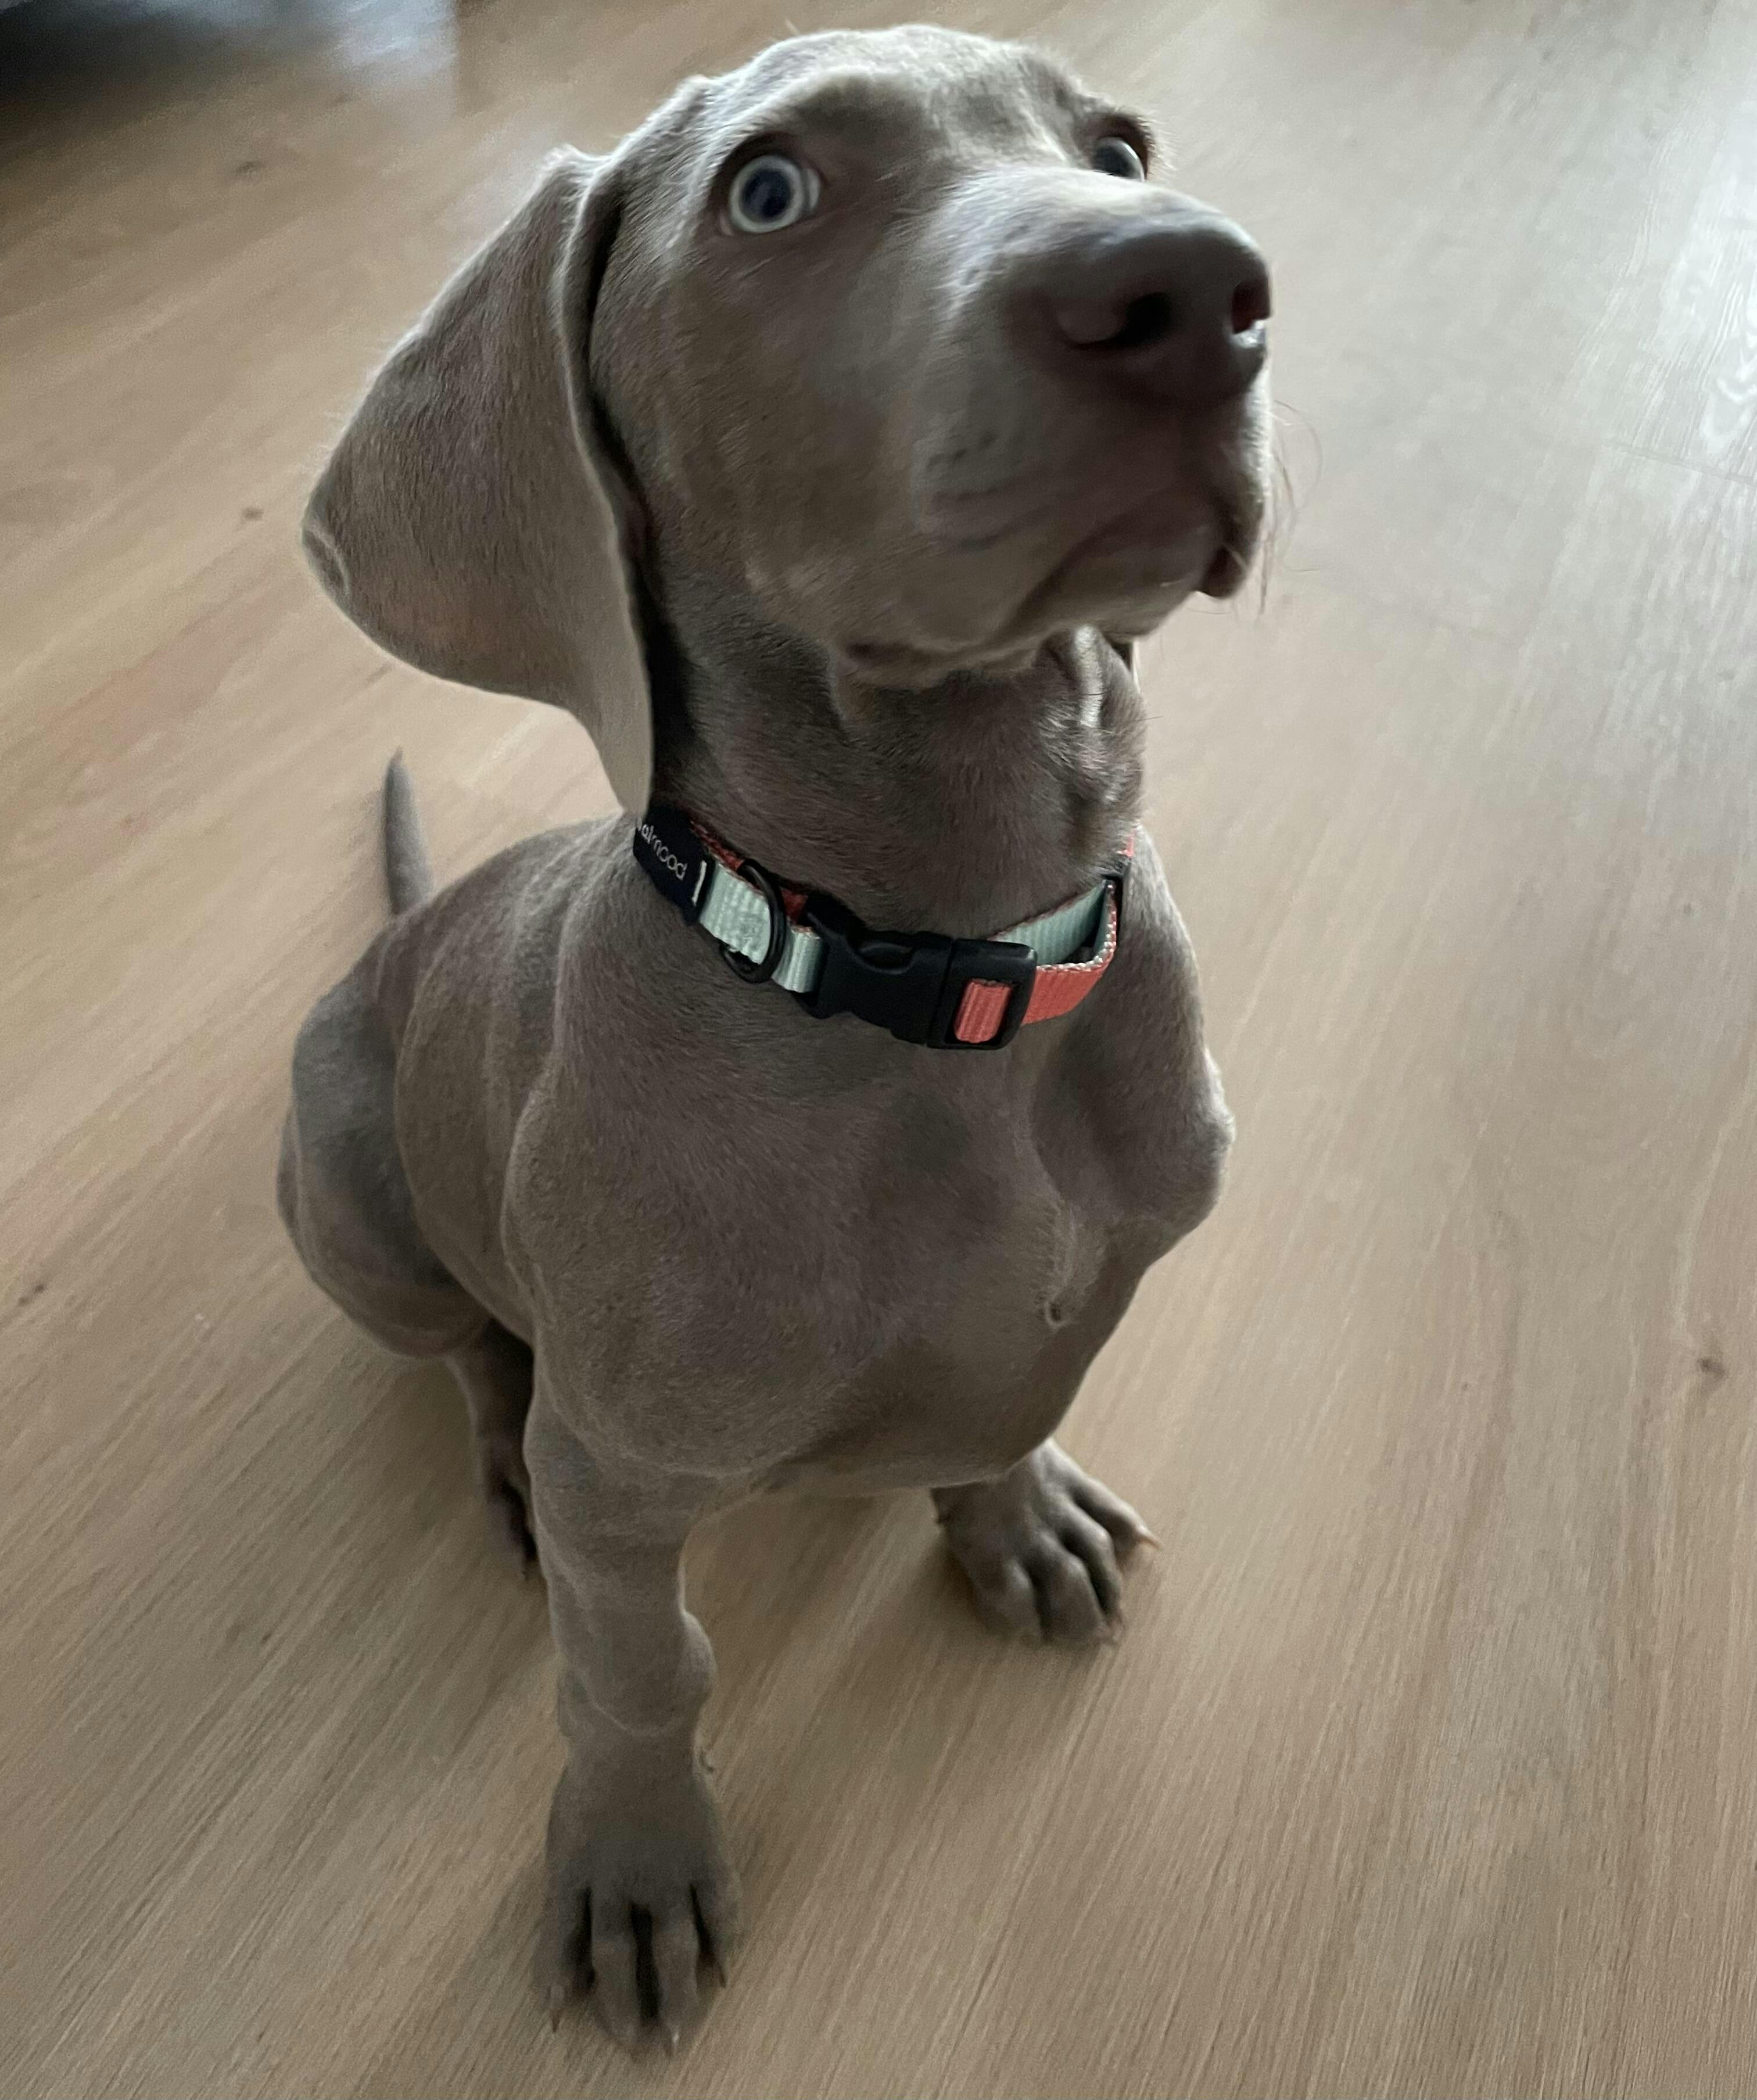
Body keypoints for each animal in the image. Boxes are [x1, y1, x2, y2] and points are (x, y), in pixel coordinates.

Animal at [279, 22, 1270, 2053]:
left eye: (1121, 146)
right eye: (769, 190)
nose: (1199, 291)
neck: (946, 965)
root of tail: (396, 931)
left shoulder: (1100, 1266)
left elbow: (1009, 1400)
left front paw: (1012, 1512)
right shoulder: (629, 1487)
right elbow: (643, 1663)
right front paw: (638, 1852)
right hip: (344, 1194)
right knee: (475, 1361)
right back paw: (498, 1444)